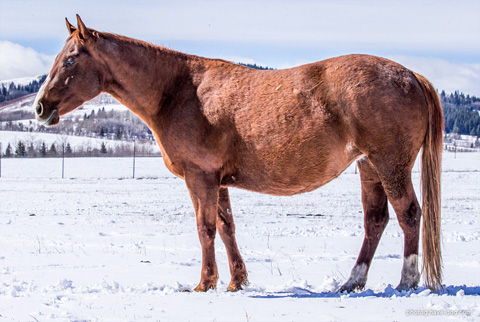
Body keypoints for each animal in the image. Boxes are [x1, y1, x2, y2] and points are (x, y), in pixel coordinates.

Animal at [33, 14, 444, 292]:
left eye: (70, 60)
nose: (39, 107)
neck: (178, 91)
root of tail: (411, 76)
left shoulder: (200, 178)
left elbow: (205, 228)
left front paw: (205, 283)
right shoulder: (219, 181)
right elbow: (227, 227)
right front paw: (236, 281)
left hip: (389, 164)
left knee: (409, 214)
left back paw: (407, 281)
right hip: (368, 167)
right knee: (376, 221)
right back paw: (352, 282)